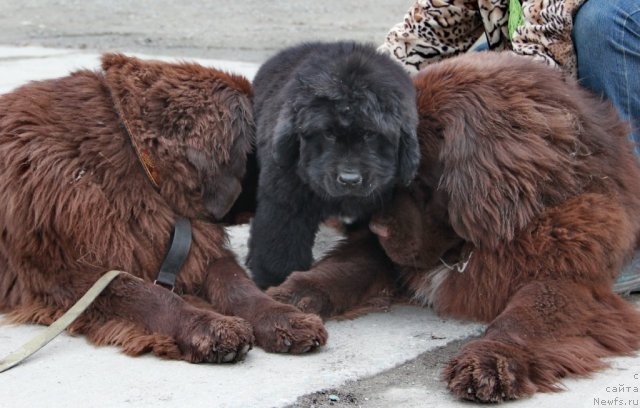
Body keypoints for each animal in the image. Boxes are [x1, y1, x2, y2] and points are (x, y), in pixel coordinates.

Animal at [0, 54, 328, 364]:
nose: (307, 184)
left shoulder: (197, 247)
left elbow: (238, 285)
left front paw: (284, 319)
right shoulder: (68, 273)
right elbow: (143, 292)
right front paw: (208, 327)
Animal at [246, 41, 420, 288]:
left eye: (370, 134)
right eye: (328, 133)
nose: (349, 180)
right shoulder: (287, 200)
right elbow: (281, 245)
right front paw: (276, 281)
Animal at [268, 52, 640, 404]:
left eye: (419, 180)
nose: (378, 227)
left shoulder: (568, 275)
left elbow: (528, 316)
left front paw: (491, 360)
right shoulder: (387, 251)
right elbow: (346, 268)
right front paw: (290, 299)